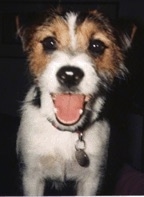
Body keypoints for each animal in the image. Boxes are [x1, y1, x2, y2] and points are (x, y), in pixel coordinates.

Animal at [16, 8, 134, 195]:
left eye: (97, 46)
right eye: (49, 42)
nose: (70, 75)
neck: (65, 132)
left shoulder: (92, 179)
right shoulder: (31, 176)